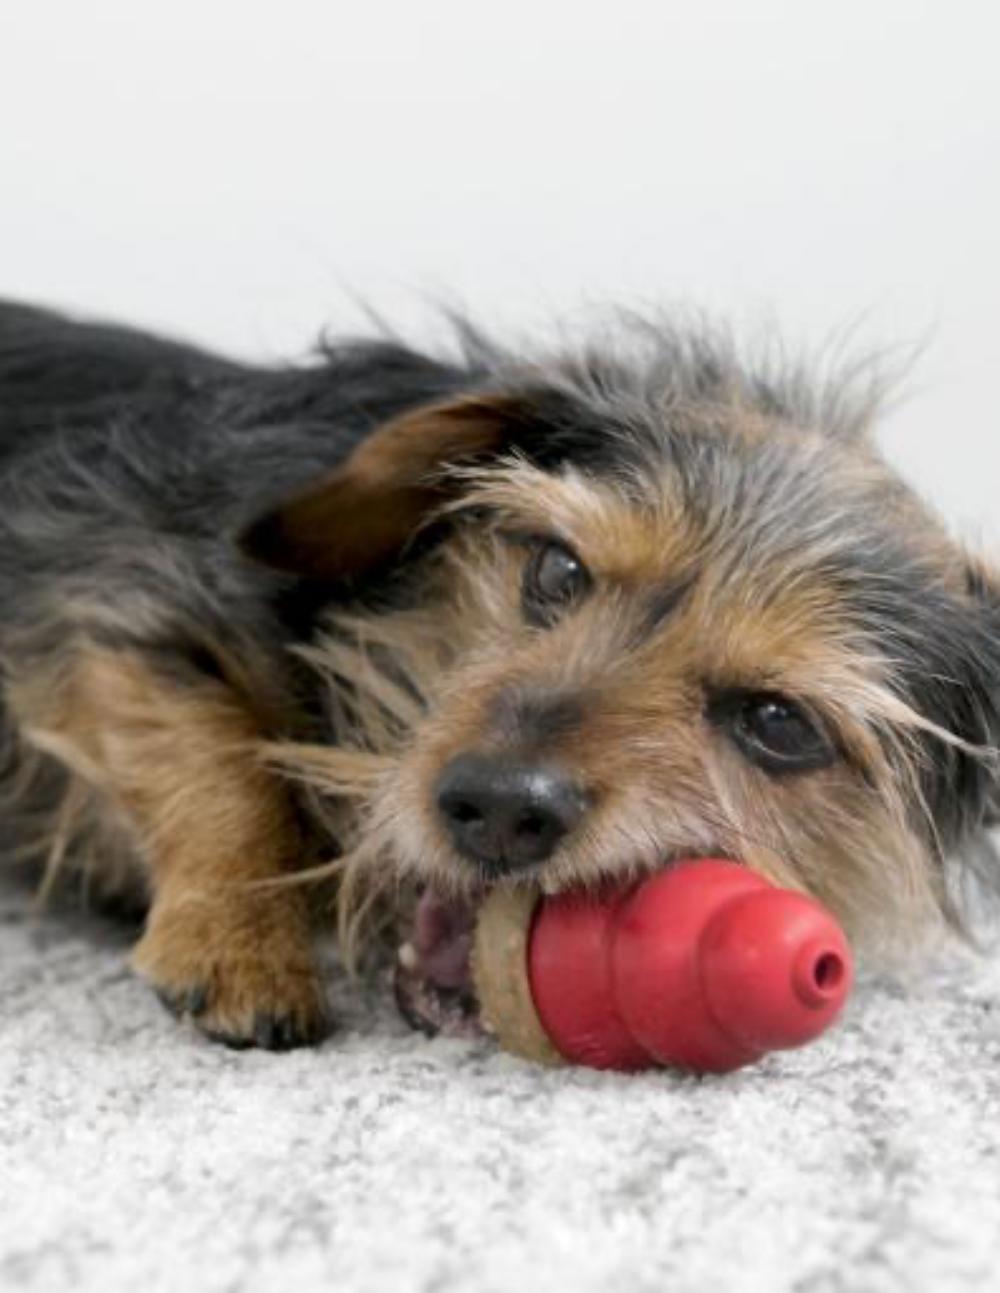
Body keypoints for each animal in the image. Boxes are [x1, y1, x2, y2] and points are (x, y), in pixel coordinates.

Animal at [1, 302, 998, 1049]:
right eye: (557, 567)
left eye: (780, 723)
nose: (499, 805)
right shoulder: (98, 604)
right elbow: (220, 755)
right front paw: (241, 942)